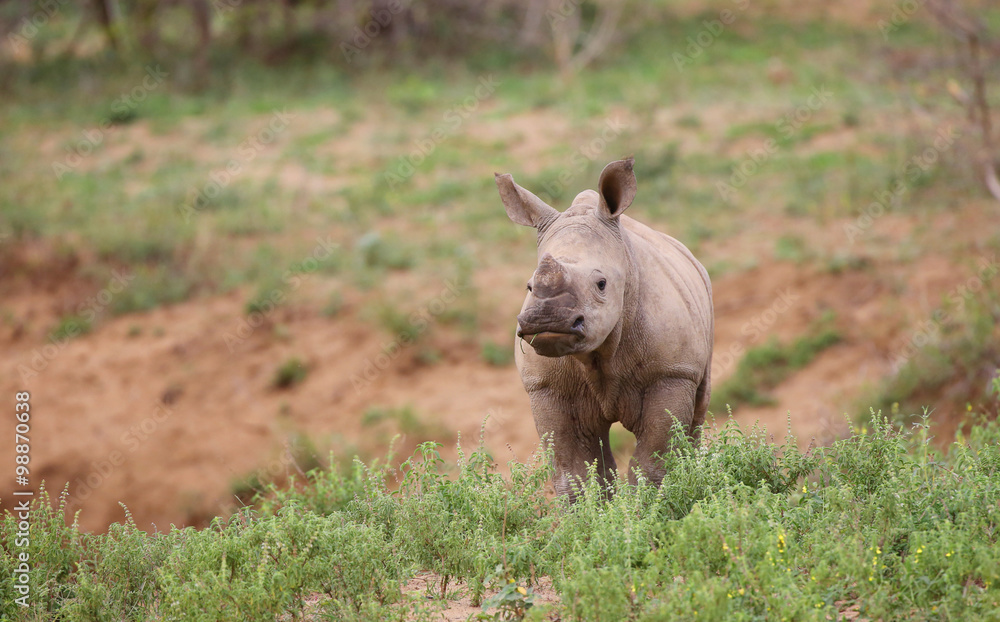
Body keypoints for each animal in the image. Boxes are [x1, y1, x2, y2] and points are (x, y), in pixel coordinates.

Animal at [495, 157, 714, 497]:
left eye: (601, 284)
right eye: (529, 286)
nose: (547, 319)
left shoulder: (672, 374)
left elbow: (651, 466)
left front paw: (647, 507)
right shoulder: (547, 387)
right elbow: (575, 472)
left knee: (698, 413)